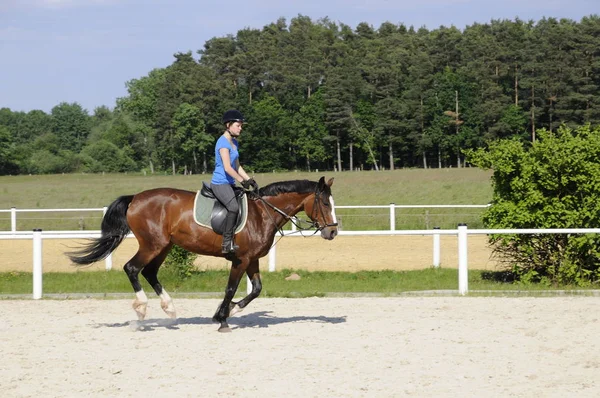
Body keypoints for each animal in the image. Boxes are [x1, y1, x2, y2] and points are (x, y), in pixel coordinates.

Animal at [67, 177, 338, 332]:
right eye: (325, 203)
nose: (333, 232)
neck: (263, 212)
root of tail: (135, 198)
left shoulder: (252, 260)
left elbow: (257, 289)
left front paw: (231, 311)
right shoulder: (241, 259)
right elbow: (231, 288)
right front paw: (223, 319)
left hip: (163, 246)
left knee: (150, 272)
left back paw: (169, 309)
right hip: (152, 244)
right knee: (132, 268)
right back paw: (143, 310)